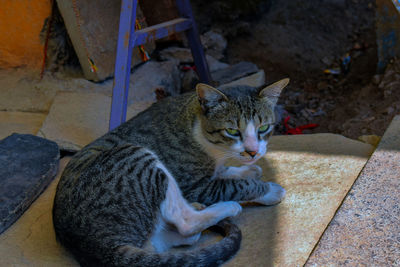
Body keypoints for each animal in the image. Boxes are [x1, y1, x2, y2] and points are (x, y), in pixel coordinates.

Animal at [53, 78, 290, 266]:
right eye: (232, 131)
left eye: (263, 128)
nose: (252, 151)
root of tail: (94, 244)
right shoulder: (196, 186)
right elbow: (235, 186)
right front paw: (268, 190)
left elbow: (226, 171)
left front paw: (248, 169)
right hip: (138, 157)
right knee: (185, 223)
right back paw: (225, 207)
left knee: (168, 241)